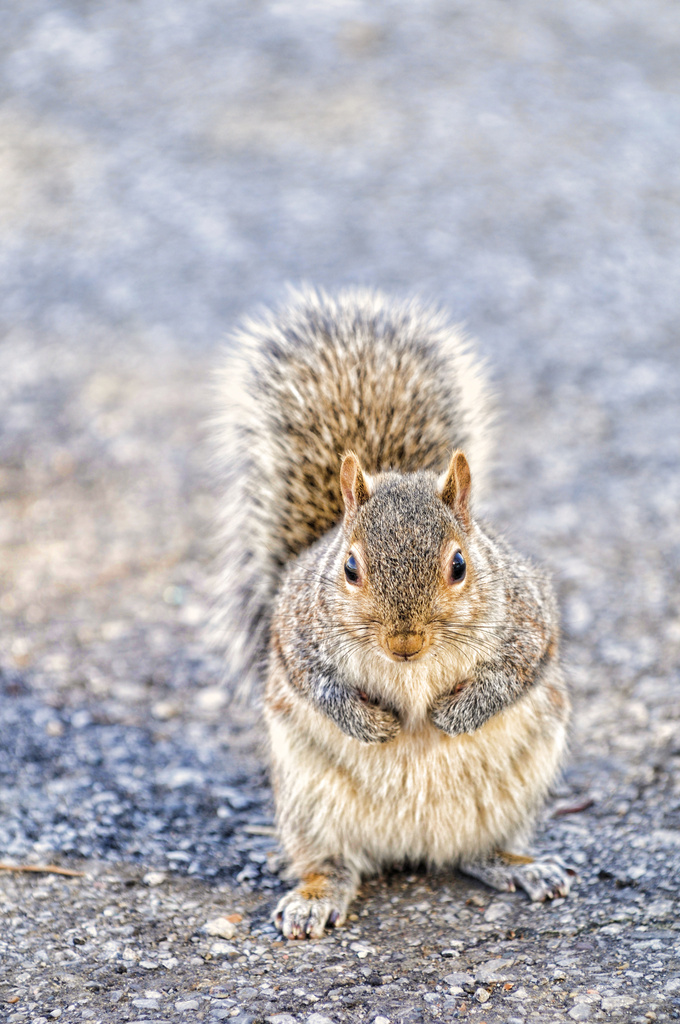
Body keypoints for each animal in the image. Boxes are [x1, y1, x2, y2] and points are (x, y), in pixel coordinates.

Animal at [213, 286, 573, 937]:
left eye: (459, 564)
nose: (405, 642)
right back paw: (313, 898)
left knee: (479, 851)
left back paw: (522, 866)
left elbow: (515, 672)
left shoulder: (530, 620)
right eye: (350, 568)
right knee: (330, 862)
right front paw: (370, 724)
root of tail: (412, 848)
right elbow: (314, 682)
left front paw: (455, 715)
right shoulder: (293, 633)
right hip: (309, 804)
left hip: (514, 792)